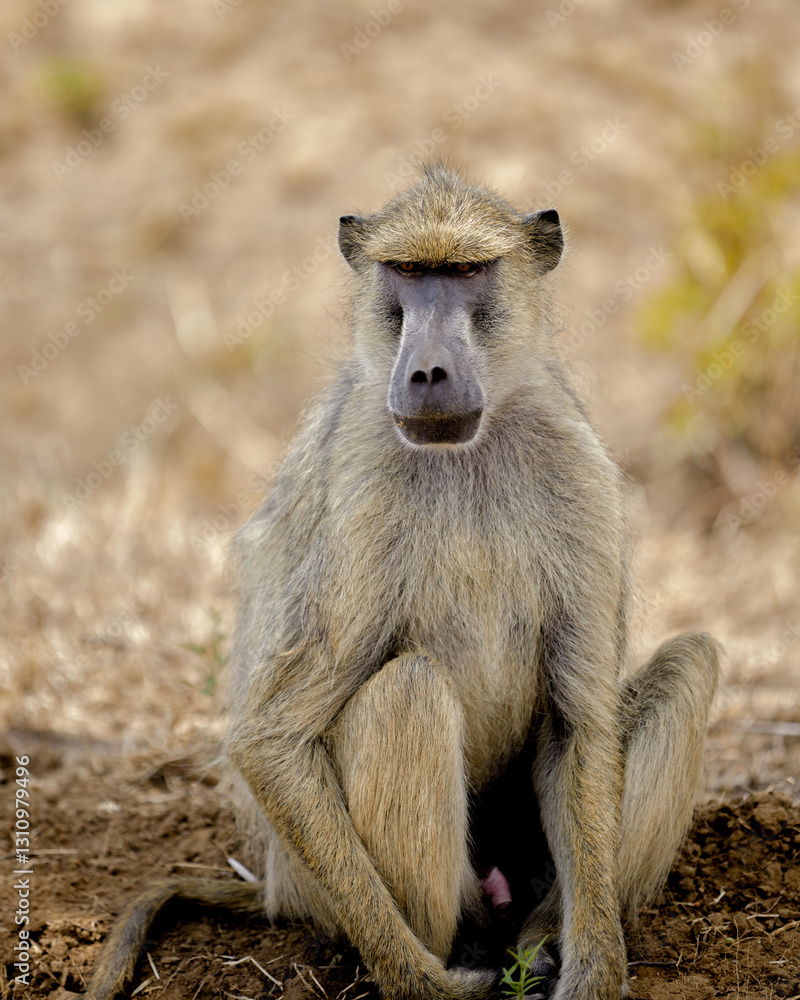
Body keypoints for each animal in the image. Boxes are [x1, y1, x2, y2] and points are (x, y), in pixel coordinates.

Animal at [88, 165, 719, 1000]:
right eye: (408, 273)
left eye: (466, 272)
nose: (426, 372)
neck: (465, 454)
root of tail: (275, 885)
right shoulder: (359, 489)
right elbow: (272, 738)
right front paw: (423, 983)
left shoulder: (579, 465)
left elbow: (579, 720)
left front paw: (594, 969)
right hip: (323, 885)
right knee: (410, 691)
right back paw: (459, 953)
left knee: (689, 664)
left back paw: (540, 936)